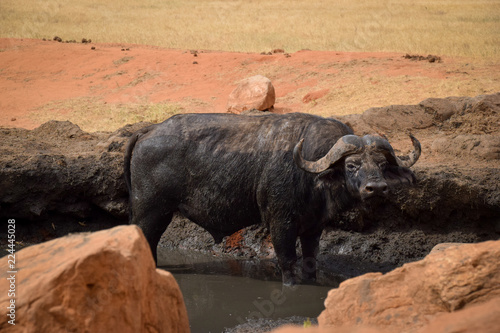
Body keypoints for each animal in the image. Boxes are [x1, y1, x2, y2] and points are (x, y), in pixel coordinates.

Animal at [123, 113, 420, 284]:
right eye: (352, 165)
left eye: (382, 164)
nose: (376, 188)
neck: (309, 175)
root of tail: (148, 131)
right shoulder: (281, 224)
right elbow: (287, 262)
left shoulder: (313, 227)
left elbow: (310, 260)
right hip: (150, 213)